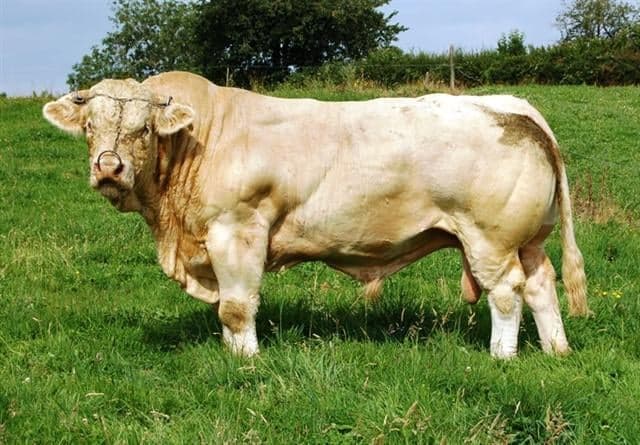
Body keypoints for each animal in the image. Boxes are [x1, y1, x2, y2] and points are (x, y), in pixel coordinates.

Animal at [43, 71, 588, 359]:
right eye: (89, 127)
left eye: (143, 129)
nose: (108, 168)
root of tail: (515, 108)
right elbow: (229, 311)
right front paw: (230, 353)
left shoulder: (236, 231)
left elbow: (236, 306)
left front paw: (246, 362)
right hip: (528, 240)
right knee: (541, 286)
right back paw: (556, 350)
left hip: (489, 239)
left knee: (507, 293)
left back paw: (502, 356)